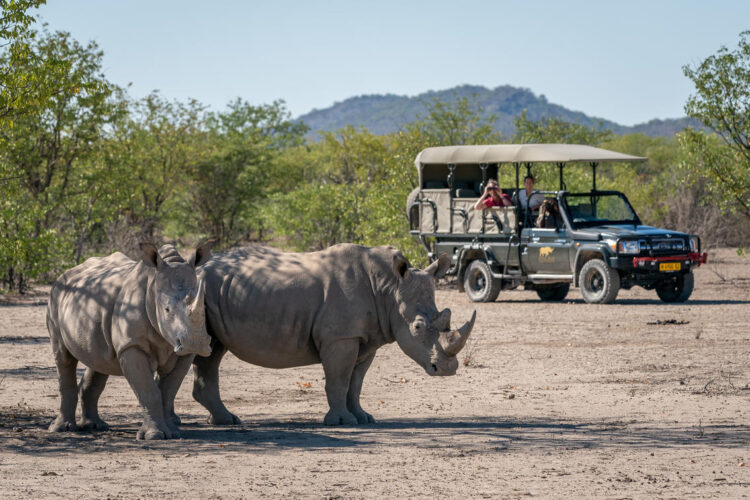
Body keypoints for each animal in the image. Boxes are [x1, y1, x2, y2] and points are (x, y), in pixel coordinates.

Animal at [46, 242, 213, 442]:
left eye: (204, 307)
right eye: (166, 309)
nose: (195, 343)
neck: (152, 289)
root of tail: (67, 273)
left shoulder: (184, 353)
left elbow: (168, 391)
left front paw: (173, 432)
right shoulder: (132, 345)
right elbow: (149, 391)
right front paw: (154, 436)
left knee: (99, 359)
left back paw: (94, 426)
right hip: (55, 298)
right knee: (64, 357)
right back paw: (61, 429)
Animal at [194, 244, 476, 424]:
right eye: (417, 327)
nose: (447, 369)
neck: (389, 289)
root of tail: (198, 268)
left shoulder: (365, 339)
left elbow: (356, 383)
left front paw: (364, 418)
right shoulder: (340, 337)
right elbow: (339, 379)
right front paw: (341, 421)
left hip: (215, 293)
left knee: (213, 352)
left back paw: (225, 421)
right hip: (203, 292)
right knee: (209, 351)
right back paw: (227, 420)